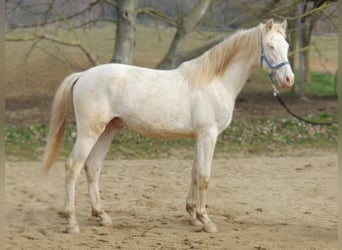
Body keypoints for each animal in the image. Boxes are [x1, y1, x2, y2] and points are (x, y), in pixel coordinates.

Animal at [42, 18, 294, 233]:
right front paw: (206, 221)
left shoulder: (199, 137)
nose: (288, 80)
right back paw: (72, 223)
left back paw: (102, 216)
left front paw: (193, 216)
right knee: (73, 167)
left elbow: (194, 173)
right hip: (89, 132)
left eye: (287, 45)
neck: (214, 81)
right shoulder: (208, 135)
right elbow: (204, 176)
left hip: (108, 130)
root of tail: (83, 75)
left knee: (92, 168)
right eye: (270, 46)